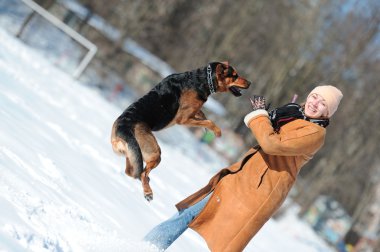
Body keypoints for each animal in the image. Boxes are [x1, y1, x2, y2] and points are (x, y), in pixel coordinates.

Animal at [111, 61, 251, 201]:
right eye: (234, 75)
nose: (250, 83)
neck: (203, 80)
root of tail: (120, 131)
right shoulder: (183, 119)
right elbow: (209, 122)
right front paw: (217, 132)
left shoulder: (193, 113)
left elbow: (202, 115)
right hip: (154, 152)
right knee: (143, 173)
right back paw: (148, 193)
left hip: (133, 155)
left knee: (132, 172)